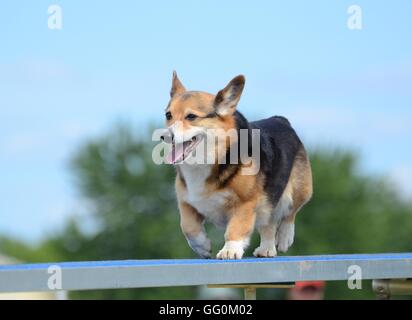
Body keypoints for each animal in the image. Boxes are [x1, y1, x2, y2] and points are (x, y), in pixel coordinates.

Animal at [161, 71, 312, 258]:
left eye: (191, 116)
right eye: (168, 115)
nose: (165, 136)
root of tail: (281, 120)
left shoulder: (245, 203)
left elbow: (236, 229)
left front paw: (230, 250)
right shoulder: (186, 202)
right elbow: (188, 226)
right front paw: (202, 246)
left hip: (299, 190)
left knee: (290, 212)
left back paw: (285, 237)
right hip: (267, 203)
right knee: (268, 224)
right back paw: (266, 249)